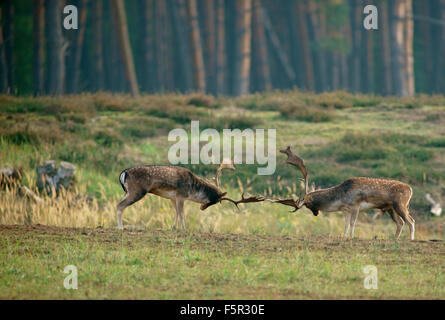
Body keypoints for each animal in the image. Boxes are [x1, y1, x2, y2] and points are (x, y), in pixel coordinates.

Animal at [117, 160, 264, 230]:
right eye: (216, 200)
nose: (202, 208)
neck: (192, 189)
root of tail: (124, 173)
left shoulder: (173, 198)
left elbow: (176, 212)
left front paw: (174, 228)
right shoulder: (181, 196)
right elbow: (182, 213)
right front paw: (184, 228)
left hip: (129, 191)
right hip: (137, 191)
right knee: (119, 205)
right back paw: (120, 227)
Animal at [272, 146, 414, 240]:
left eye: (307, 204)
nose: (316, 213)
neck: (340, 198)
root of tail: (410, 189)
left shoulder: (355, 205)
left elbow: (352, 223)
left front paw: (351, 237)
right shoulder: (347, 209)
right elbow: (345, 224)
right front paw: (345, 236)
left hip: (400, 204)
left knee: (411, 221)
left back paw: (411, 239)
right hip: (391, 208)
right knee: (401, 223)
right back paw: (395, 239)